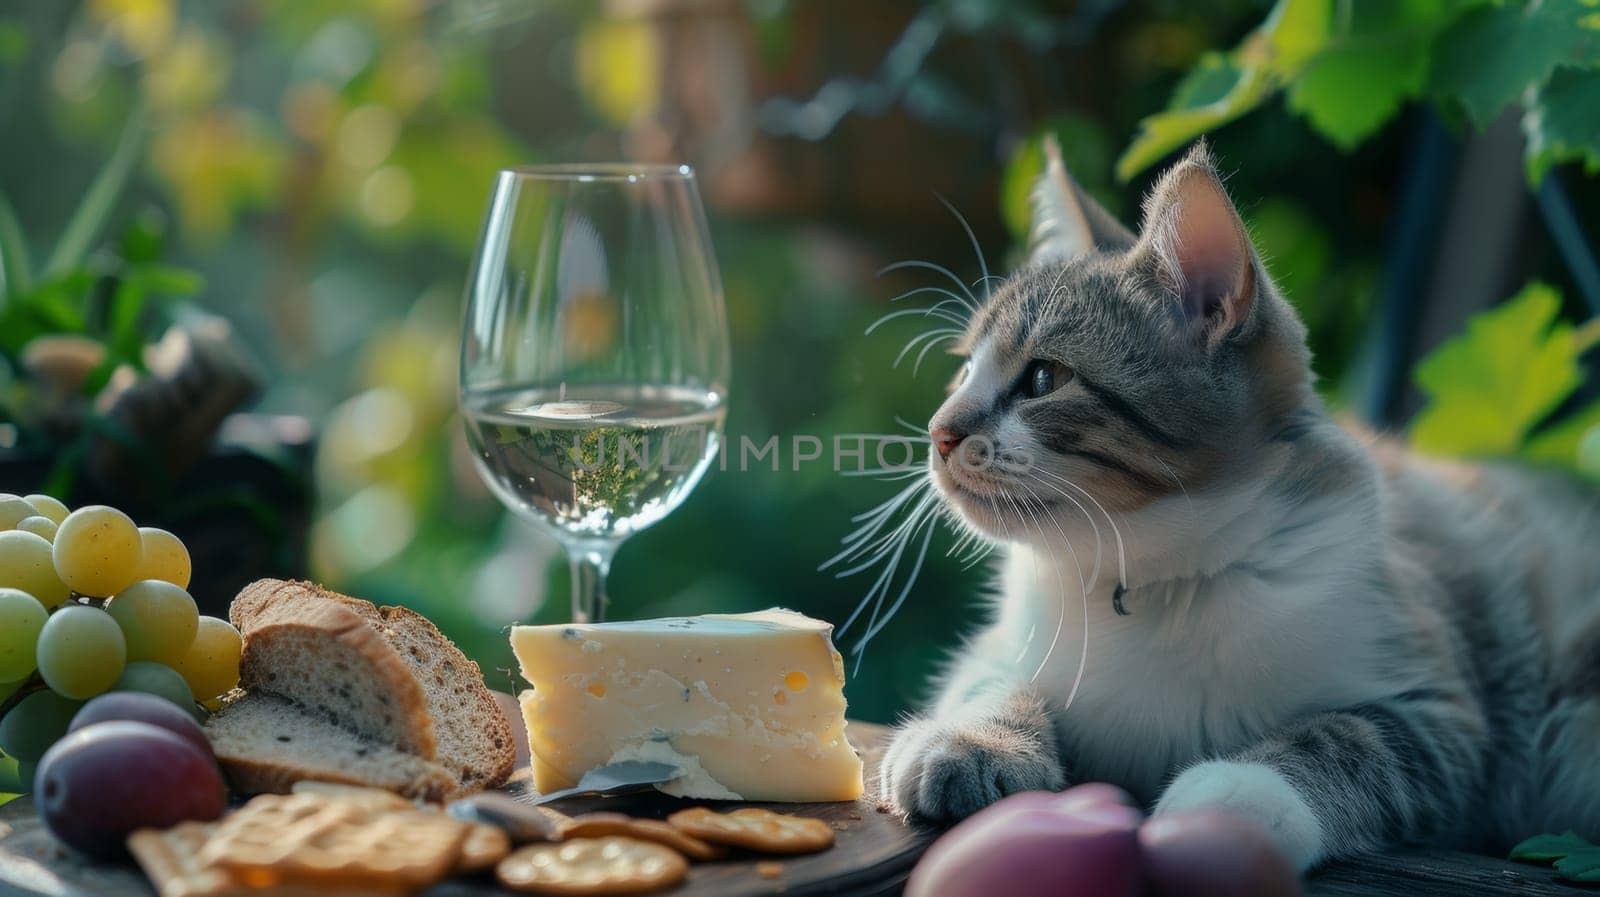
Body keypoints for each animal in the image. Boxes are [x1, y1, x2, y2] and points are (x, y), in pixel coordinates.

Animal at [883, 138, 1600, 869]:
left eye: (1042, 378)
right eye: (965, 370)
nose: (940, 432)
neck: (1159, 580)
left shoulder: (1441, 707)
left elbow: (1350, 739)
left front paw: (1236, 792)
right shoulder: (1010, 642)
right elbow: (993, 676)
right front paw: (976, 735)